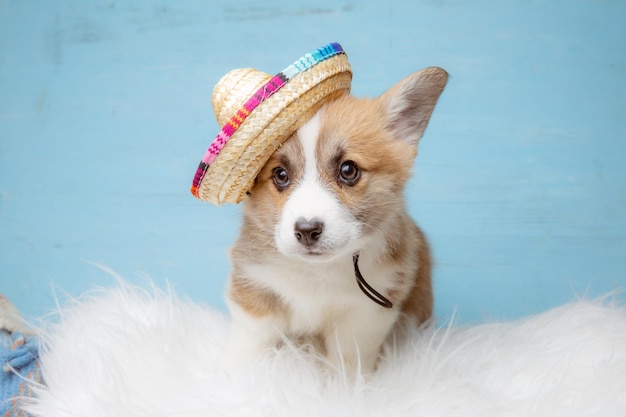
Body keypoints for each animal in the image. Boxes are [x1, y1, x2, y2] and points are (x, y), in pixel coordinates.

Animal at [223, 67, 444, 374]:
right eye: (280, 175)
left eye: (348, 170)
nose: (307, 230)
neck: (317, 272)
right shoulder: (255, 294)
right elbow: (249, 351)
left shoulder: (363, 318)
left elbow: (347, 366)